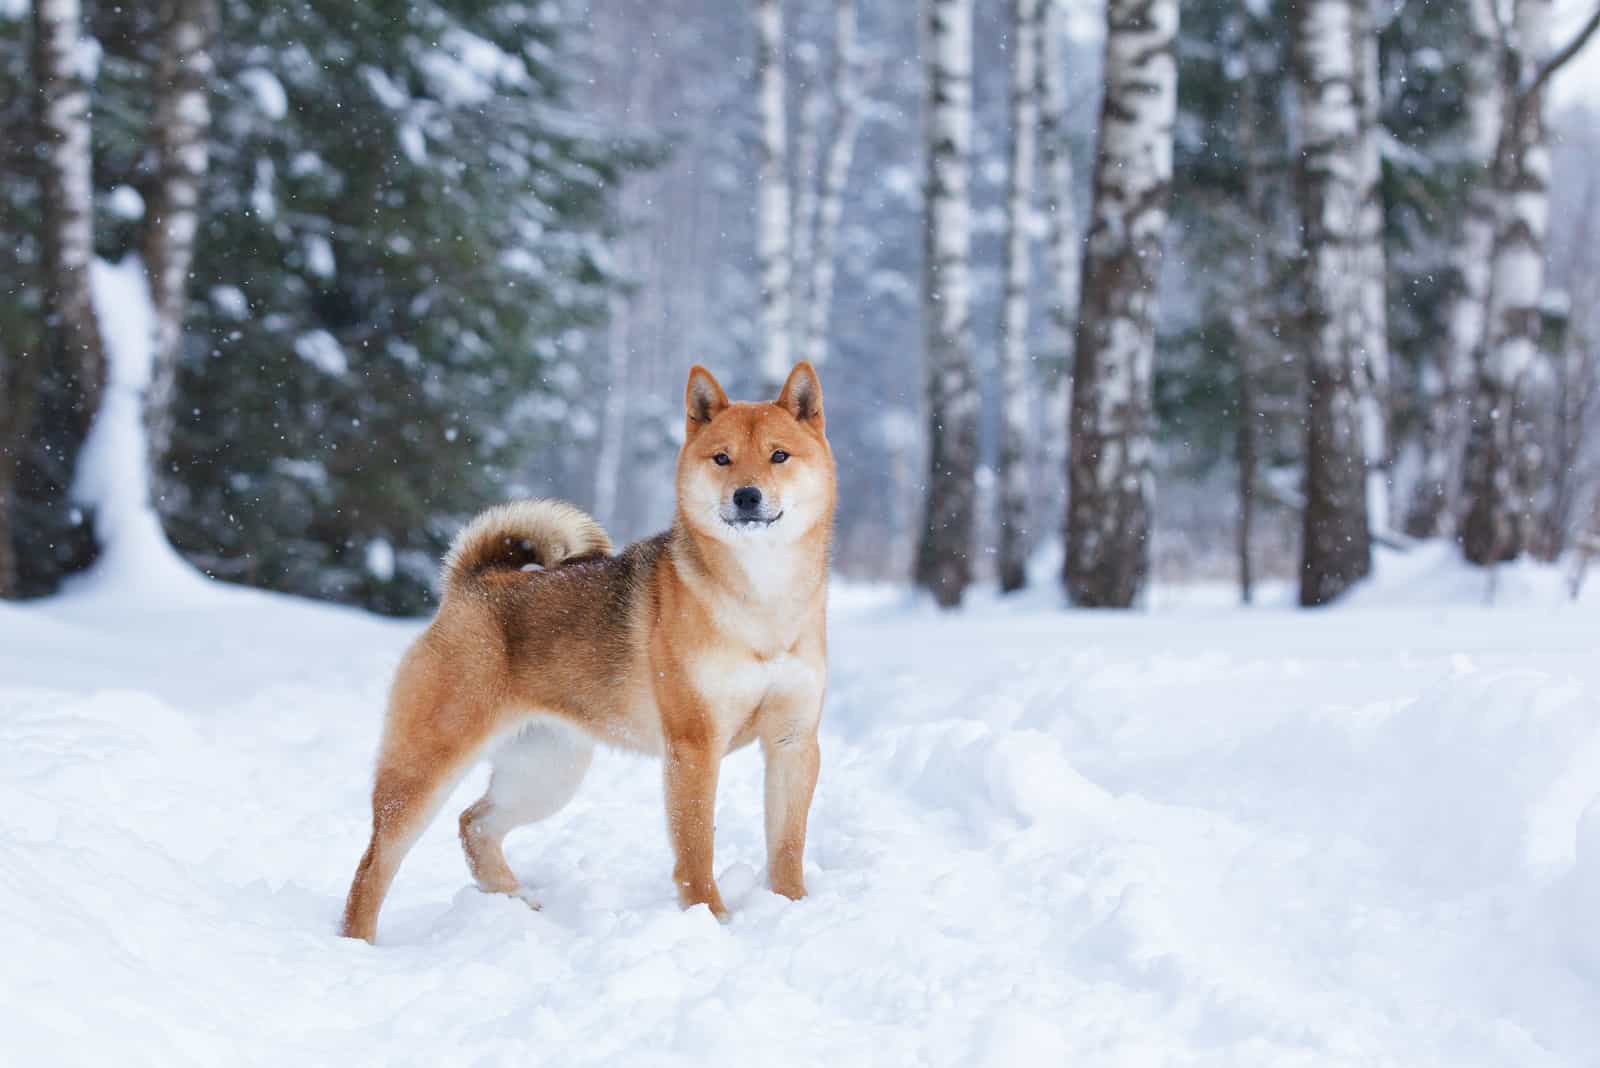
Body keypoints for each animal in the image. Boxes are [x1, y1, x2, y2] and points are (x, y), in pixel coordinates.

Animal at [340, 361, 838, 940]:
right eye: (722, 458)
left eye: (779, 455)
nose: (747, 496)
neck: (762, 602)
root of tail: (472, 584)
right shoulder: (694, 745)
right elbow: (696, 848)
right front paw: (709, 917)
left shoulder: (792, 740)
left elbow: (787, 844)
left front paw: (793, 907)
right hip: (426, 766)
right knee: (374, 864)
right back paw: (357, 941)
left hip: (547, 771)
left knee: (474, 824)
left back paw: (514, 899)